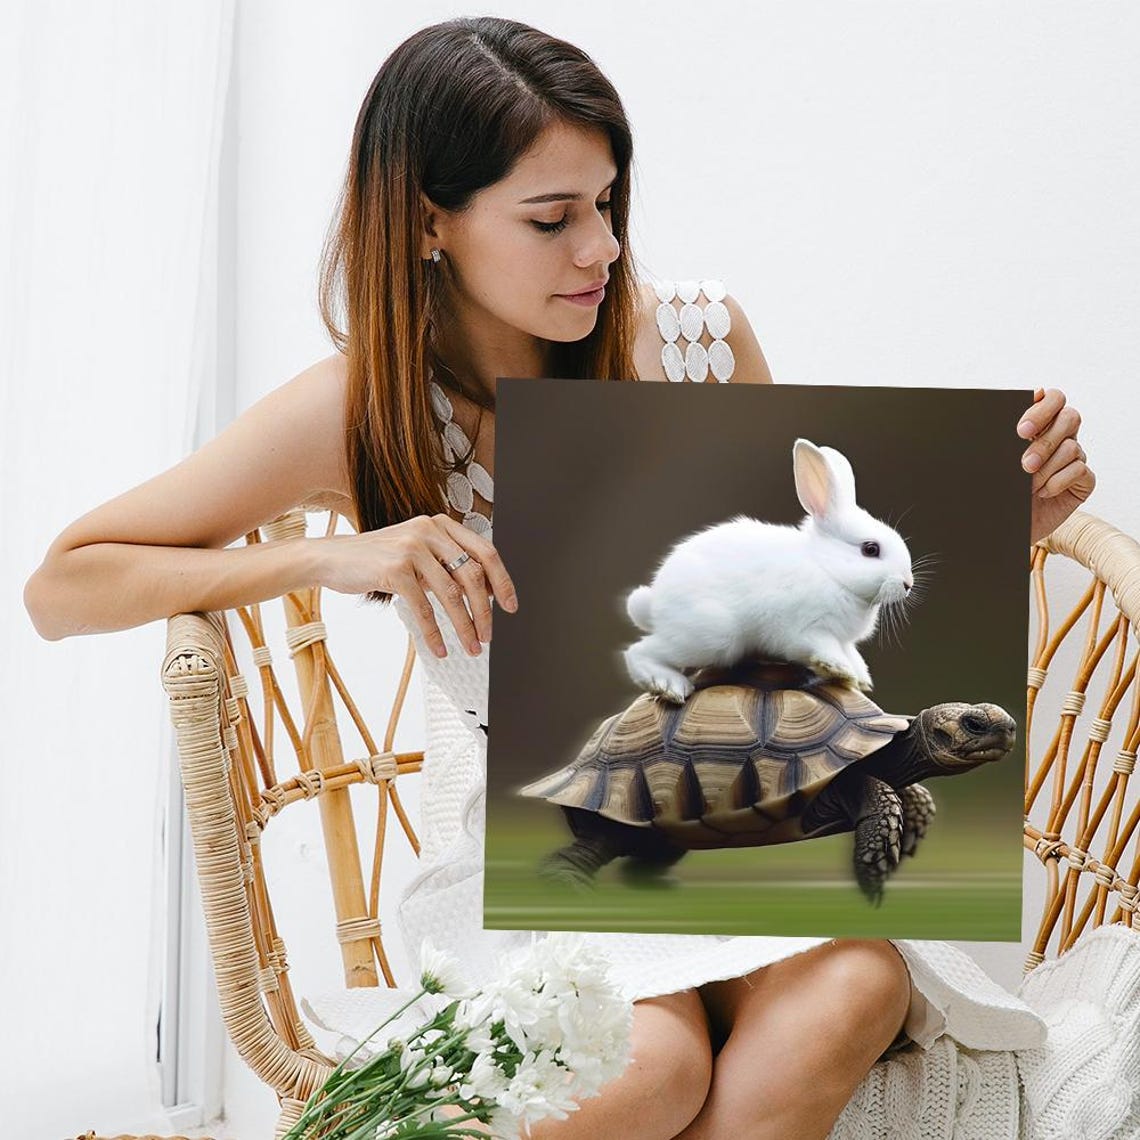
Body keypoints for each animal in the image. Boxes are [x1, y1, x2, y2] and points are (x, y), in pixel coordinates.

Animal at [622, 438, 914, 704]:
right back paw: (669, 685)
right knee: (639, 651)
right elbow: (823, 647)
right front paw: (839, 669)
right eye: (870, 549)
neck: (829, 571)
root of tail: (655, 605)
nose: (907, 584)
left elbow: (852, 653)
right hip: (712, 636)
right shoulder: (807, 630)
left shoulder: (844, 640)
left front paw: (860, 678)